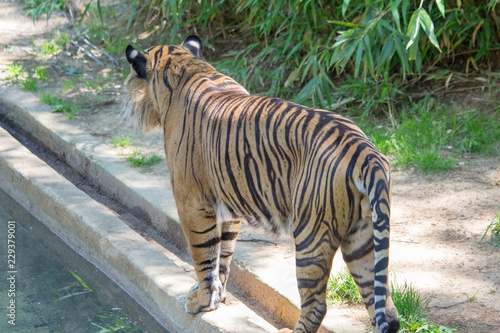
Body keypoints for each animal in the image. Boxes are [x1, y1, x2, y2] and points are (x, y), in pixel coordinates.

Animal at [123, 34, 400, 332]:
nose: (126, 105)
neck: (186, 67)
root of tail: (366, 151)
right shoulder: (228, 204)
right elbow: (224, 254)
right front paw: (217, 296)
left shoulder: (191, 202)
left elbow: (203, 255)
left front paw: (201, 302)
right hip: (363, 236)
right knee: (383, 306)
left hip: (313, 235)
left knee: (316, 305)